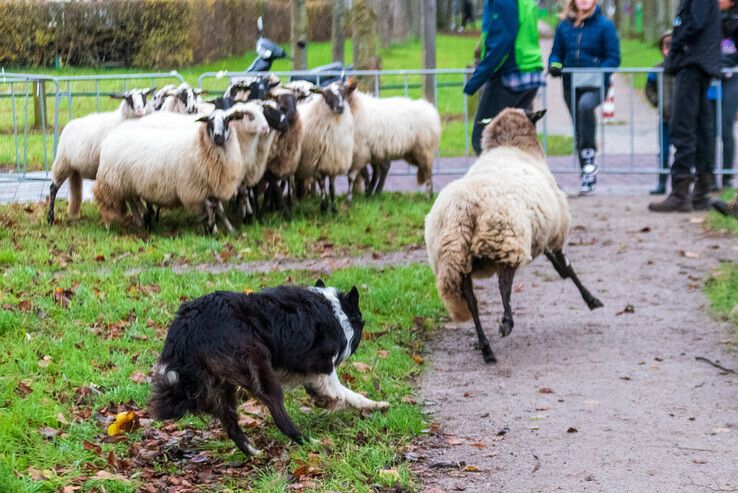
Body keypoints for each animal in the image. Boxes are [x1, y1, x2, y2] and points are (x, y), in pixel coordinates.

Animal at [93, 108, 250, 234]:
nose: (218, 137)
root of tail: (112, 135)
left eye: (227, 120)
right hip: (113, 182)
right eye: (209, 121)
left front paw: (228, 229)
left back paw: (142, 220)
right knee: (113, 202)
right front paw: (211, 228)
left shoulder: (212, 186)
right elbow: (209, 208)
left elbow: (218, 209)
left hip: (128, 182)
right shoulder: (195, 190)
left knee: (133, 200)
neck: (199, 145)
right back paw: (112, 224)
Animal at [298, 80, 358, 211]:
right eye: (326, 95)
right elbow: (321, 184)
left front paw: (334, 208)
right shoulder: (316, 162)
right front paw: (324, 206)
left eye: (344, 93)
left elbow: (331, 186)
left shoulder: (333, 161)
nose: (340, 107)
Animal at [422, 107, 600, 362]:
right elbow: (567, 270)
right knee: (504, 285)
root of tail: (462, 208)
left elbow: (561, 269)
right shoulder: (554, 234)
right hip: (503, 241)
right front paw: (591, 300)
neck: (512, 147)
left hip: (456, 257)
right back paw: (506, 323)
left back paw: (485, 347)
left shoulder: (540, 234)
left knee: (472, 301)